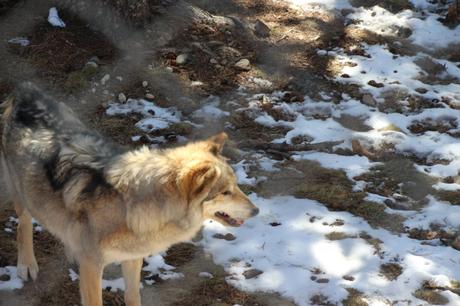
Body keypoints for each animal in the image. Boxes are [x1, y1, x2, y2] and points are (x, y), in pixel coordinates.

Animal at [0, 83, 258, 306]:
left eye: (236, 186)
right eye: (225, 192)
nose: (256, 210)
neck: (130, 207)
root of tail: (26, 89)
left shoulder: (133, 257)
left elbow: (133, 296)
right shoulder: (93, 266)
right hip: (22, 194)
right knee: (24, 223)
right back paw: (27, 264)